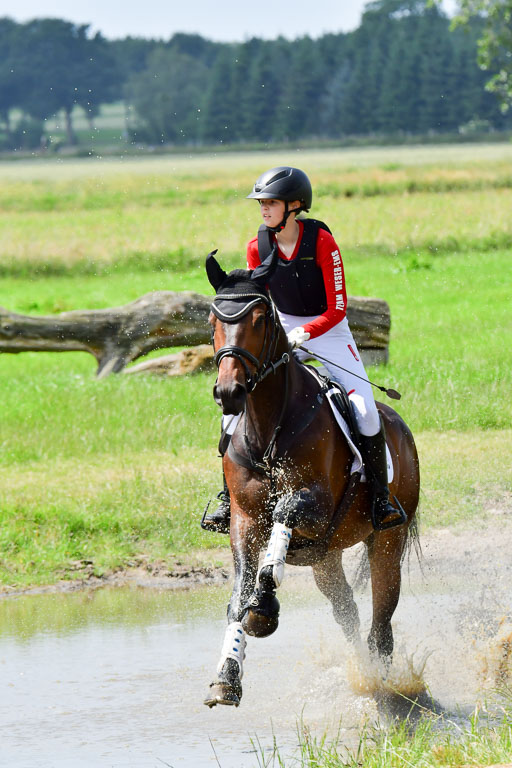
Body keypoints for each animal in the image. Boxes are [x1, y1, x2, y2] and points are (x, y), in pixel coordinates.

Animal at [203, 251, 420, 708]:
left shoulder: (315, 505)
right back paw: (362, 670)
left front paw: (264, 607)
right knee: (348, 614)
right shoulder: (244, 520)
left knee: (382, 618)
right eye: (213, 320)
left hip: (387, 541)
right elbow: (238, 595)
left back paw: (382, 683)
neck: (268, 429)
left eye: (261, 318)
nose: (229, 392)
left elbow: (283, 517)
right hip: (326, 559)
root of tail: (401, 428)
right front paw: (227, 675)